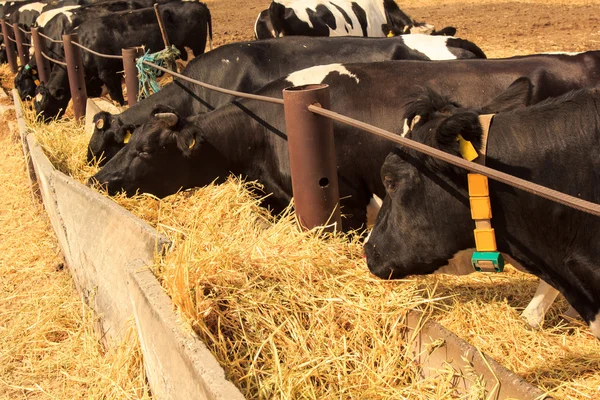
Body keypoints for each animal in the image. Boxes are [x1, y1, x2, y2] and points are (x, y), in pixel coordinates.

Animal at [33, 1, 211, 120]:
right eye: (35, 104)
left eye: (45, 105)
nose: (38, 122)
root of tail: (198, 4)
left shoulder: (108, 74)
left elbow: (117, 98)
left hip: (196, 49)